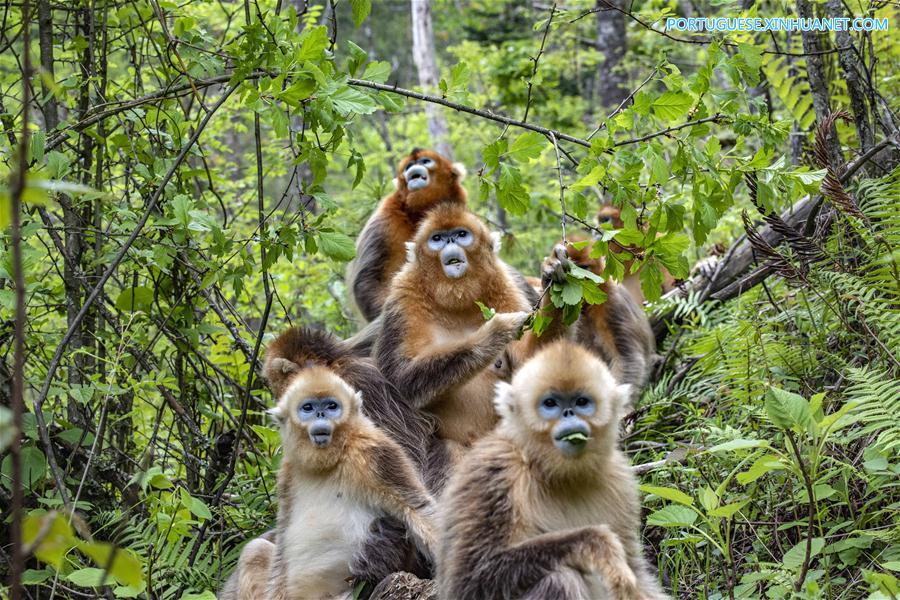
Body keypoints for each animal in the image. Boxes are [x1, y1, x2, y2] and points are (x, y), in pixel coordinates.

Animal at [264, 366, 437, 600]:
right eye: (308, 408)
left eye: (331, 406)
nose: (320, 414)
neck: (330, 460)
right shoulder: (288, 471)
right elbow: (282, 538)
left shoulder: (372, 451)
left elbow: (417, 508)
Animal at [347, 148, 468, 322]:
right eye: (409, 166)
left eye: (425, 161)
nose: (412, 169)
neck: (418, 215)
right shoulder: (385, 219)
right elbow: (366, 280)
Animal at [437, 340, 668, 600]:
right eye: (550, 404)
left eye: (581, 402)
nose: (569, 414)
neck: (555, 473)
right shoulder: (495, 471)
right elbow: (469, 581)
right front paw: (596, 543)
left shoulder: (621, 481)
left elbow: (636, 573)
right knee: (559, 578)